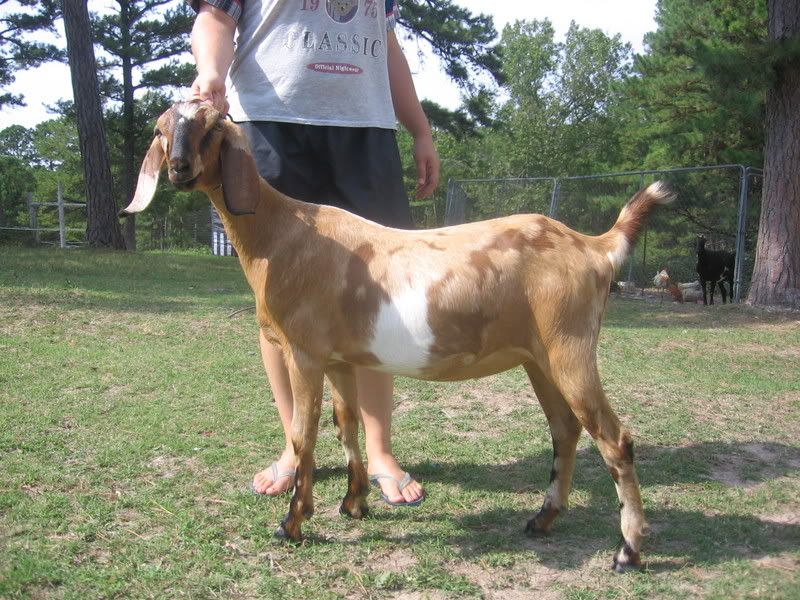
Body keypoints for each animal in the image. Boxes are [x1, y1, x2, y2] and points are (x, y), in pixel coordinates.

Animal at [122, 102, 675, 572]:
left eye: (214, 127)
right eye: (162, 129)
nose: (179, 168)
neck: (284, 234)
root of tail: (594, 247)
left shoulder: (305, 354)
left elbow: (303, 436)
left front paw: (293, 524)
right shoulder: (340, 358)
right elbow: (346, 425)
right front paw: (353, 504)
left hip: (570, 347)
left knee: (615, 439)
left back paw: (628, 551)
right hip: (539, 358)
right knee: (565, 429)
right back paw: (542, 519)